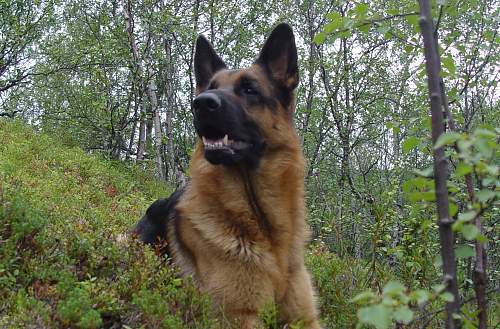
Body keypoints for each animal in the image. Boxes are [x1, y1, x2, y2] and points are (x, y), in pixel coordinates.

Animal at [134, 23, 320, 328]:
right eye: (211, 88)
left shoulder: (304, 318)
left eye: (249, 89)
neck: (262, 223)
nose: (200, 103)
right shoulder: (238, 316)